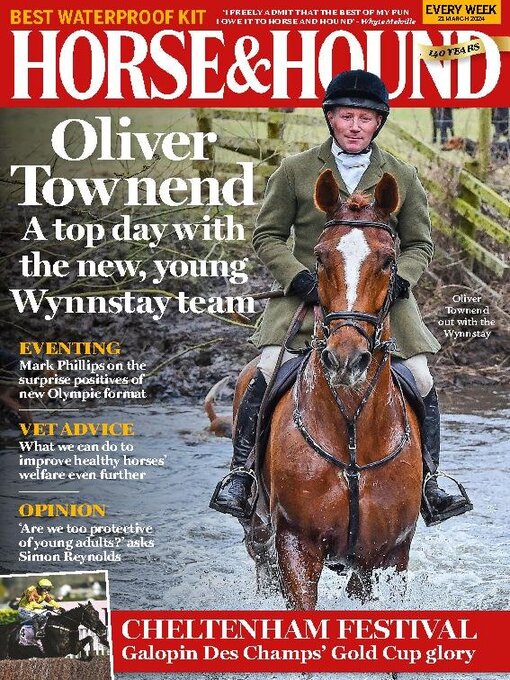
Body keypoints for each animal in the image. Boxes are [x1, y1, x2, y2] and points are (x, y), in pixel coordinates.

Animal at [237, 170, 423, 610]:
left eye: (388, 261)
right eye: (320, 258)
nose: (345, 360)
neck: (353, 429)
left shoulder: (388, 554)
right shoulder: (295, 543)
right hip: (259, 533)